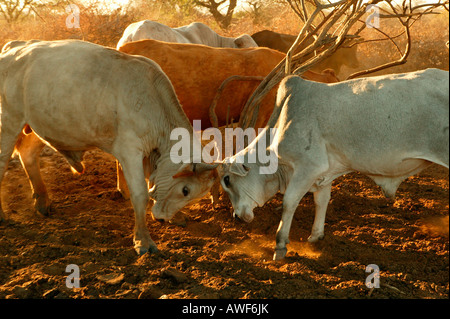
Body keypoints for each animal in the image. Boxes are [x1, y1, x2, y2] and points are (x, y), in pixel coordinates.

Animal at [0, 39, 218, 255]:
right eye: (185, 190)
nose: (162, 218)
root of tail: (15, 46)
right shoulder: (130, 151)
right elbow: (140, 195)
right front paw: (143, 239)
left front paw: (176, 217)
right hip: (9, 122)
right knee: (3, 161)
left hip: (42, 125)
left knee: (27, 154)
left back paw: (42, 201)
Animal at [220, 69, 448, 260]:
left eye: (227, 180)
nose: (236, 217)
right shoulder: (324, 173)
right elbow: (321, 201)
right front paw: (315, 236)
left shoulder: (308, 167)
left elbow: (289, 202)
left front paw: (280, 246)